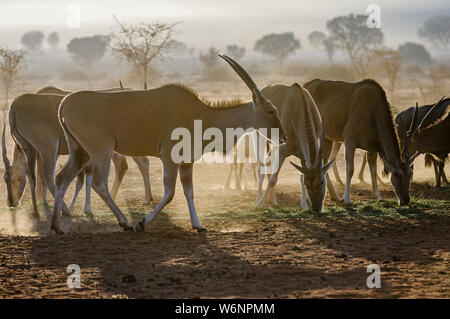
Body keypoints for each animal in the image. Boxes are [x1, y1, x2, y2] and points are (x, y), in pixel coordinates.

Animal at [1, 91, 153, 219]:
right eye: (5, 179)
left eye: (17, 179)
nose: (11, 203)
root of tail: (15, 107)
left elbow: (82, 179)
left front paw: (86, 209)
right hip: (39, 150)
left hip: (42, 149)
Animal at [51, 55, 286, 235]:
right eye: (270, 111)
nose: (283, 136)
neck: (201, 114)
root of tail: (65, 103)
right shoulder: (170, 158)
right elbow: (170, 192)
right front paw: (142, 223)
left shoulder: (187, 163)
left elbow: (189, 191)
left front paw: (198, 225)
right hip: (101, 151)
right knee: (99, 183)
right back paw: (125, 222)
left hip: (80, 151)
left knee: (62, 178)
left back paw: (57, 226)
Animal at [253, 83, 338, 212]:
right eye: (309, 184)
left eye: (321, 182)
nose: (316, 208)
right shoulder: (283, 150)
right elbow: (273, 179)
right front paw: (260, 203)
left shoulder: (303, 155)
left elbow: (301, 176)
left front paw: (304, 206)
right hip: (261, 138)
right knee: (262, 167)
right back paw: (259, 199)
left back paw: (273, 201)